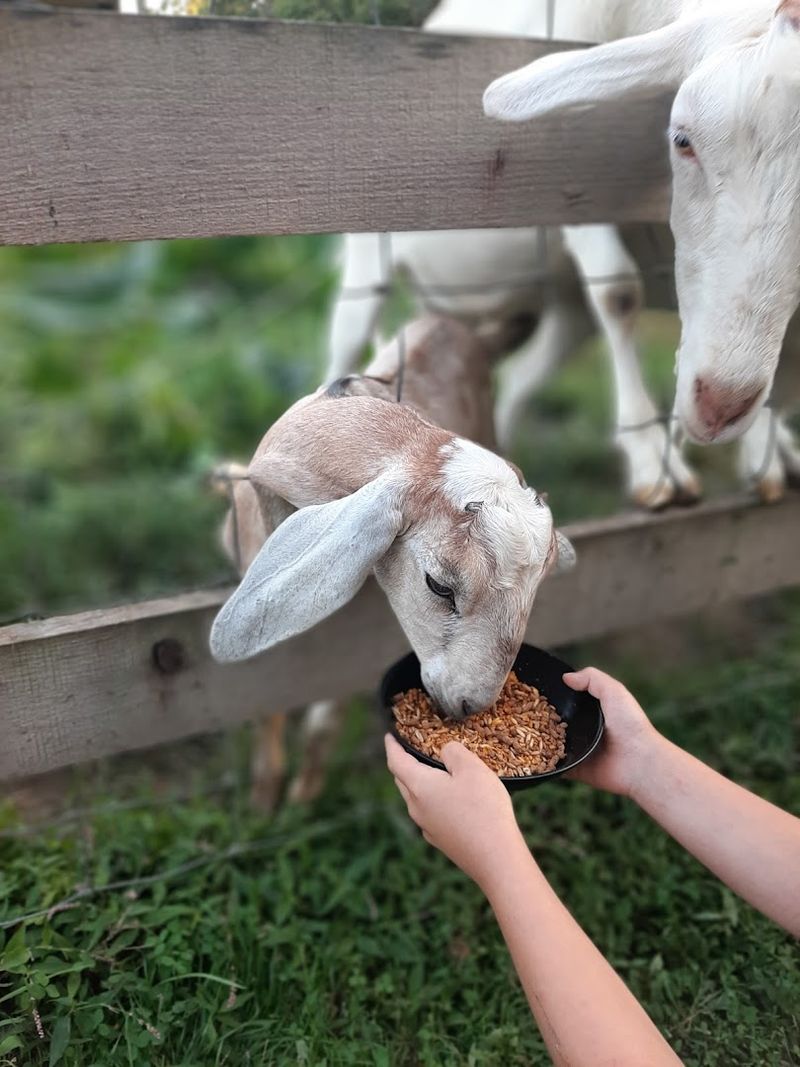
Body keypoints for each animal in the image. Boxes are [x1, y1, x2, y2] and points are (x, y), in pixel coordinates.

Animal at [210, 317, 575, 809]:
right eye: (440, 585)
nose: (471, 706)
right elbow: (267, 704)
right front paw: (265, 804)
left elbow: (326, 713)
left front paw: (302, 797)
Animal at [484, 0, 800, 501]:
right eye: (682, 140)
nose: (721, 405)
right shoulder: (575, 181)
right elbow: (617, 290)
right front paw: (651, 456)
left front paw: (766, 450)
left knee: (520, 374)